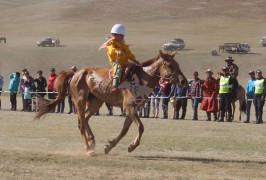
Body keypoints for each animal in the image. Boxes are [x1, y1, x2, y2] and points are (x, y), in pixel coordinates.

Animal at [34, 50, 187, 155]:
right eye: (170, 65)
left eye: (178, 64)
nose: (183, 81)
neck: (142, 79)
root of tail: (75, 73)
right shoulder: (129, 107)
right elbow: (141, 127)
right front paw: (132, 146)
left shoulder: (133, 109)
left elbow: (125, 130)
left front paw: (110, 146)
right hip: (80, 101)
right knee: (81, 123)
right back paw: (88, 149)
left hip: (96, 102)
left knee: (86, 119)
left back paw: (92, 141)